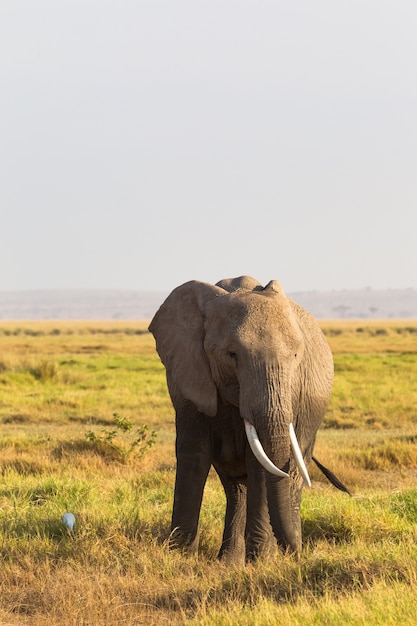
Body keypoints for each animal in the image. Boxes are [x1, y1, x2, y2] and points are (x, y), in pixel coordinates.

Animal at [148, 276, 336, 564]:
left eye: (296, 356)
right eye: (232, 355)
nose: (295, 554)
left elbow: (259, 463)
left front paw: (260, 561)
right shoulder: (187, 371)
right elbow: (193, 454)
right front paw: (179, 556)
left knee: (290, 474)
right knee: (236, 487)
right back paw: (230, 562)